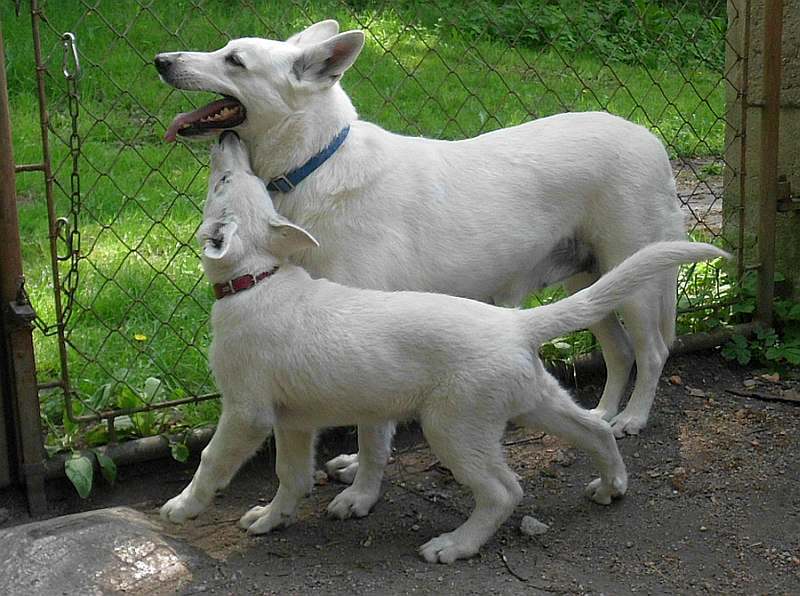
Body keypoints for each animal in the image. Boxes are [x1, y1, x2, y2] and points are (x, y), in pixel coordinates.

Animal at [155, 19, 688, 516]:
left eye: (235, 60)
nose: (161, 61)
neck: (315, 163)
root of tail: (651, 139)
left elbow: (372, 430)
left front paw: (361, 493)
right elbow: (370, 419)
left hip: (635, 284)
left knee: (652, 351)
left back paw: (632, 417)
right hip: (589, 281)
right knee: (619, 352)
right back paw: (602, 412)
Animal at [159, 134, 728, 564]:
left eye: (223, 182)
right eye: (240, 182)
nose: (227, 139)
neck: (257, 279)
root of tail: (513, 324)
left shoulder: (247, 412)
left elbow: (212, 459)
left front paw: (183, 507)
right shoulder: (294, 420)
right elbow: (291, 476)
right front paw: (270, 519)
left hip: (454, 425)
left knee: (505, 490)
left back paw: (456, 545)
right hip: (531, 398)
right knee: (593, 429)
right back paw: (611, 484)